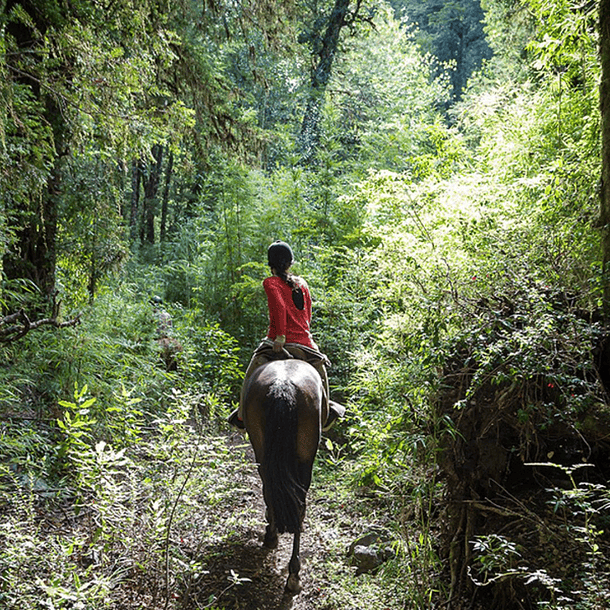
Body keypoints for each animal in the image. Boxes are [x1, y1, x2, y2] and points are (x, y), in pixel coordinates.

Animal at [242, 356, 328, 592]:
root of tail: (283, 385)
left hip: (264, 452)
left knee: (272, 490)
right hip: (304, 459)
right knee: (297, 503)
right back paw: (293, 574)